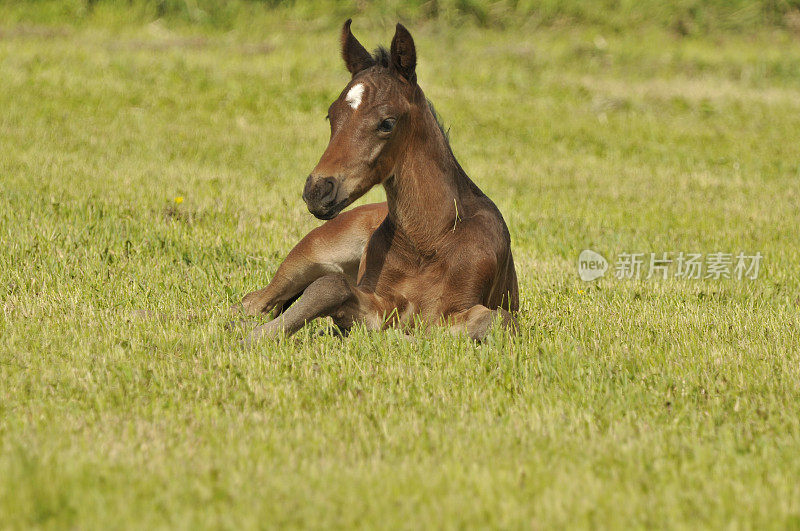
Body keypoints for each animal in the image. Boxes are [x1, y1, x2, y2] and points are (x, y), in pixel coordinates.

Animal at [241, 19, 520, 340]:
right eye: (331, 115)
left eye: (387, 123)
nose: (317, 190)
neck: (429, 241)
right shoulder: (376, 301)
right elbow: (330, 286)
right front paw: (254, 338)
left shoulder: (449, 311)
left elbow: (498, 320)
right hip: (309, 256)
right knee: (255, 301)